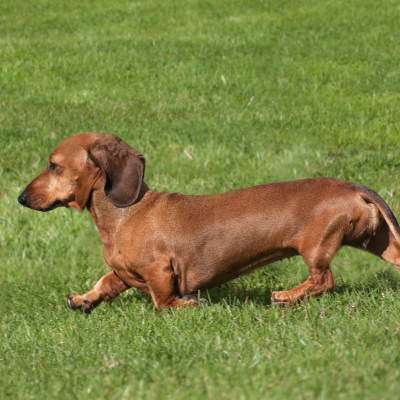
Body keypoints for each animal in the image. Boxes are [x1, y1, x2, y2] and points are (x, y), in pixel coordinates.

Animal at [18, 133, 400, 310]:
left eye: (53, 165)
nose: (21, 197)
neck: (125, 214)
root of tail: (352, 186)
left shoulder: (159, 270)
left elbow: (163, 302)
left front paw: (190, 305)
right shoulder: (122, 273)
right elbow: (106, 283)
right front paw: (83, 299)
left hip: (316, 247)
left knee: (323, 280)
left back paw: (286, 296)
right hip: (378, 240)